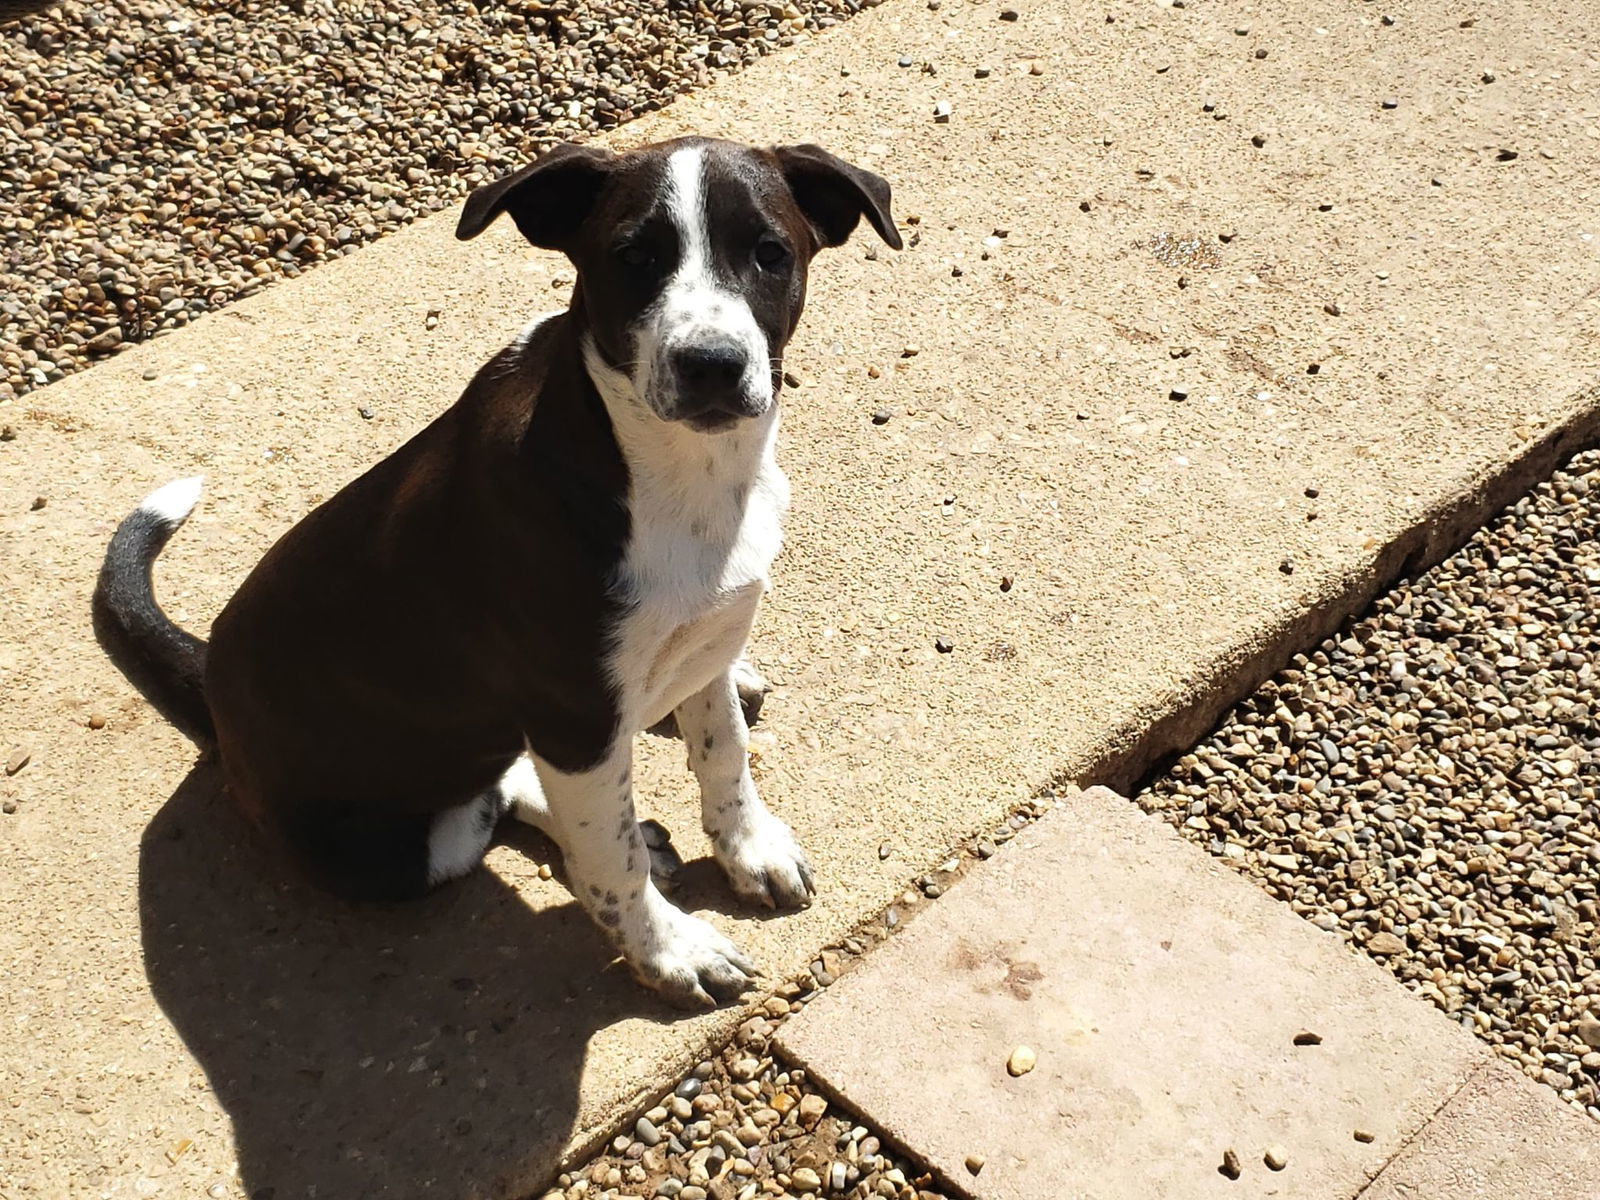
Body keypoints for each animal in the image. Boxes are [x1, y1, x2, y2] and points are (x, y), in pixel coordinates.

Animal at [96, 136, 902, 1011]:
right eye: (632, 257)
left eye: (769, 253)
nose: (711, 366)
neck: (670, 470)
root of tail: (211, 689)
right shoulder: (573, 714)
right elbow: (610, 860)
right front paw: (669, 950)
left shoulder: (705, 637)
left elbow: (725, 751)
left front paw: (749, 847)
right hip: (389, 854)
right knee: (491, 810)